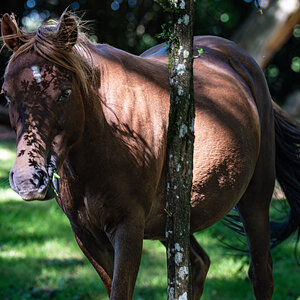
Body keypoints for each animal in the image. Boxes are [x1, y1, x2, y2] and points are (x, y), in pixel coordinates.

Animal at [2, 12, 300, 300]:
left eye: (65, 92)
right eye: (6, 94)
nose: (28, 179)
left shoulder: (128, 229)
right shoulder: (87, 236)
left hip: (255, 200)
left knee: (261, 275)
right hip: (174, 220)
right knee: (197, 264)